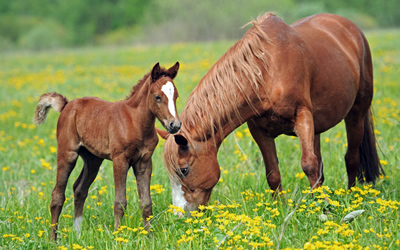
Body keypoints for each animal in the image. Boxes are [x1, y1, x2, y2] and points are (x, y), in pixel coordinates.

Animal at [33, 62, 180, 240]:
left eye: (176, 96)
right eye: (157, 97)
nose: (175, 125)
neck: (135, 122)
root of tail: (67, 105)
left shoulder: (144, 162)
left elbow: (146, 202)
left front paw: (150, 237)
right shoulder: (120, 160)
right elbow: (120, 202)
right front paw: (118, 236)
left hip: (93, 160)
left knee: (80, 189)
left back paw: (77, 235)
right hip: (67, 153)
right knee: (57, 195)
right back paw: (53, 240)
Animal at [157, 13, 384, 213]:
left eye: (184, 170)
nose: (180, 214)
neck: (267, 71)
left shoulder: (302, 116)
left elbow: (308, 164)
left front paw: (324, 208)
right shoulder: (260, 130)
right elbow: (273, 173)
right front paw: (280, 209)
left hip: (356, 112)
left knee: (351, 157)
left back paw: (351, 196)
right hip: (318, 126)